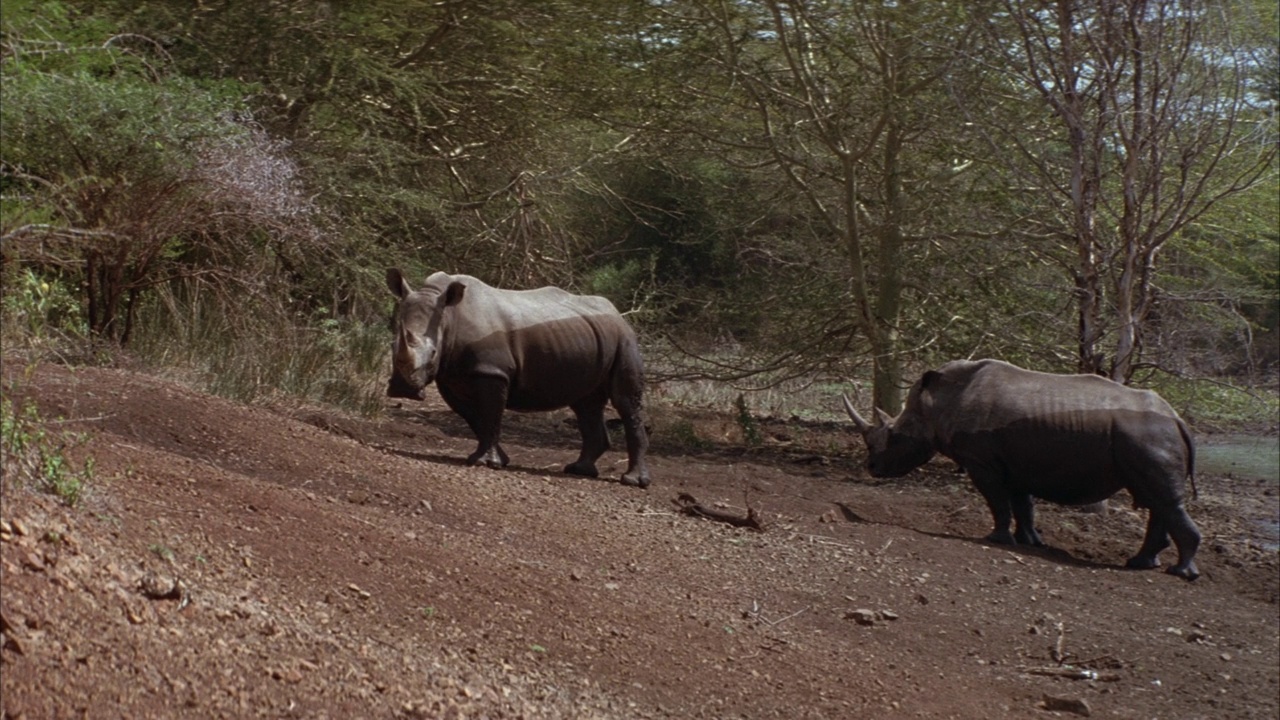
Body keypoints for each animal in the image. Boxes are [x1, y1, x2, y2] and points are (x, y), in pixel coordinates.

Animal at [386, 269, 650, 486]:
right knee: (586, 403)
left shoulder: (492, 371)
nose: (402, 389)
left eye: (433, 353)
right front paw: (499, 460)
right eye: (392, 345)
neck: (449, 317)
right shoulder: (452, 376)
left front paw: (486, 463)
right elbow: (475, 418)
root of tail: (617, 313)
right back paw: (579, 470)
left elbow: (491, 415)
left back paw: (632, 481)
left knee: (624, 401)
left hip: (625, 339)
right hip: (589, 338)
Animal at [839, 356, 1198, 576]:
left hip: (1148, 435)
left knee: (1162, 499)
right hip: (1147, 437)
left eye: (895, 435)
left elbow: (997, 501)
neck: (938, 403)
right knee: (1156, 499)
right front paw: (1031, 542)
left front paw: (996, 539)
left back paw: (1179, 572)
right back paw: (1141, 564)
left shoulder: (982, 461)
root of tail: (1180, 421)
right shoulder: (1016, 462)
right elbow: (1022, 504)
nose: (872, 466)